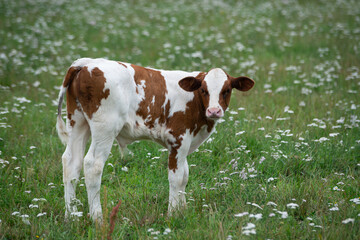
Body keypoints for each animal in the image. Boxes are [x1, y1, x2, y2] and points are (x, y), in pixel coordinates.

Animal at [56, 57, 255, 221]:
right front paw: (173, 214)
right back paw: (97, 219)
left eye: (227, 90)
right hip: (105, 128)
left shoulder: (185, 142)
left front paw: (182, 210)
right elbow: (176, 178)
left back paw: (71, 216)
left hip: (77, 122)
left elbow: (185, 175)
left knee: (71, 163)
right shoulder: (178, 138)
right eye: (204, 90)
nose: (214, 111)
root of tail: (86, 64)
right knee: (92, 165)